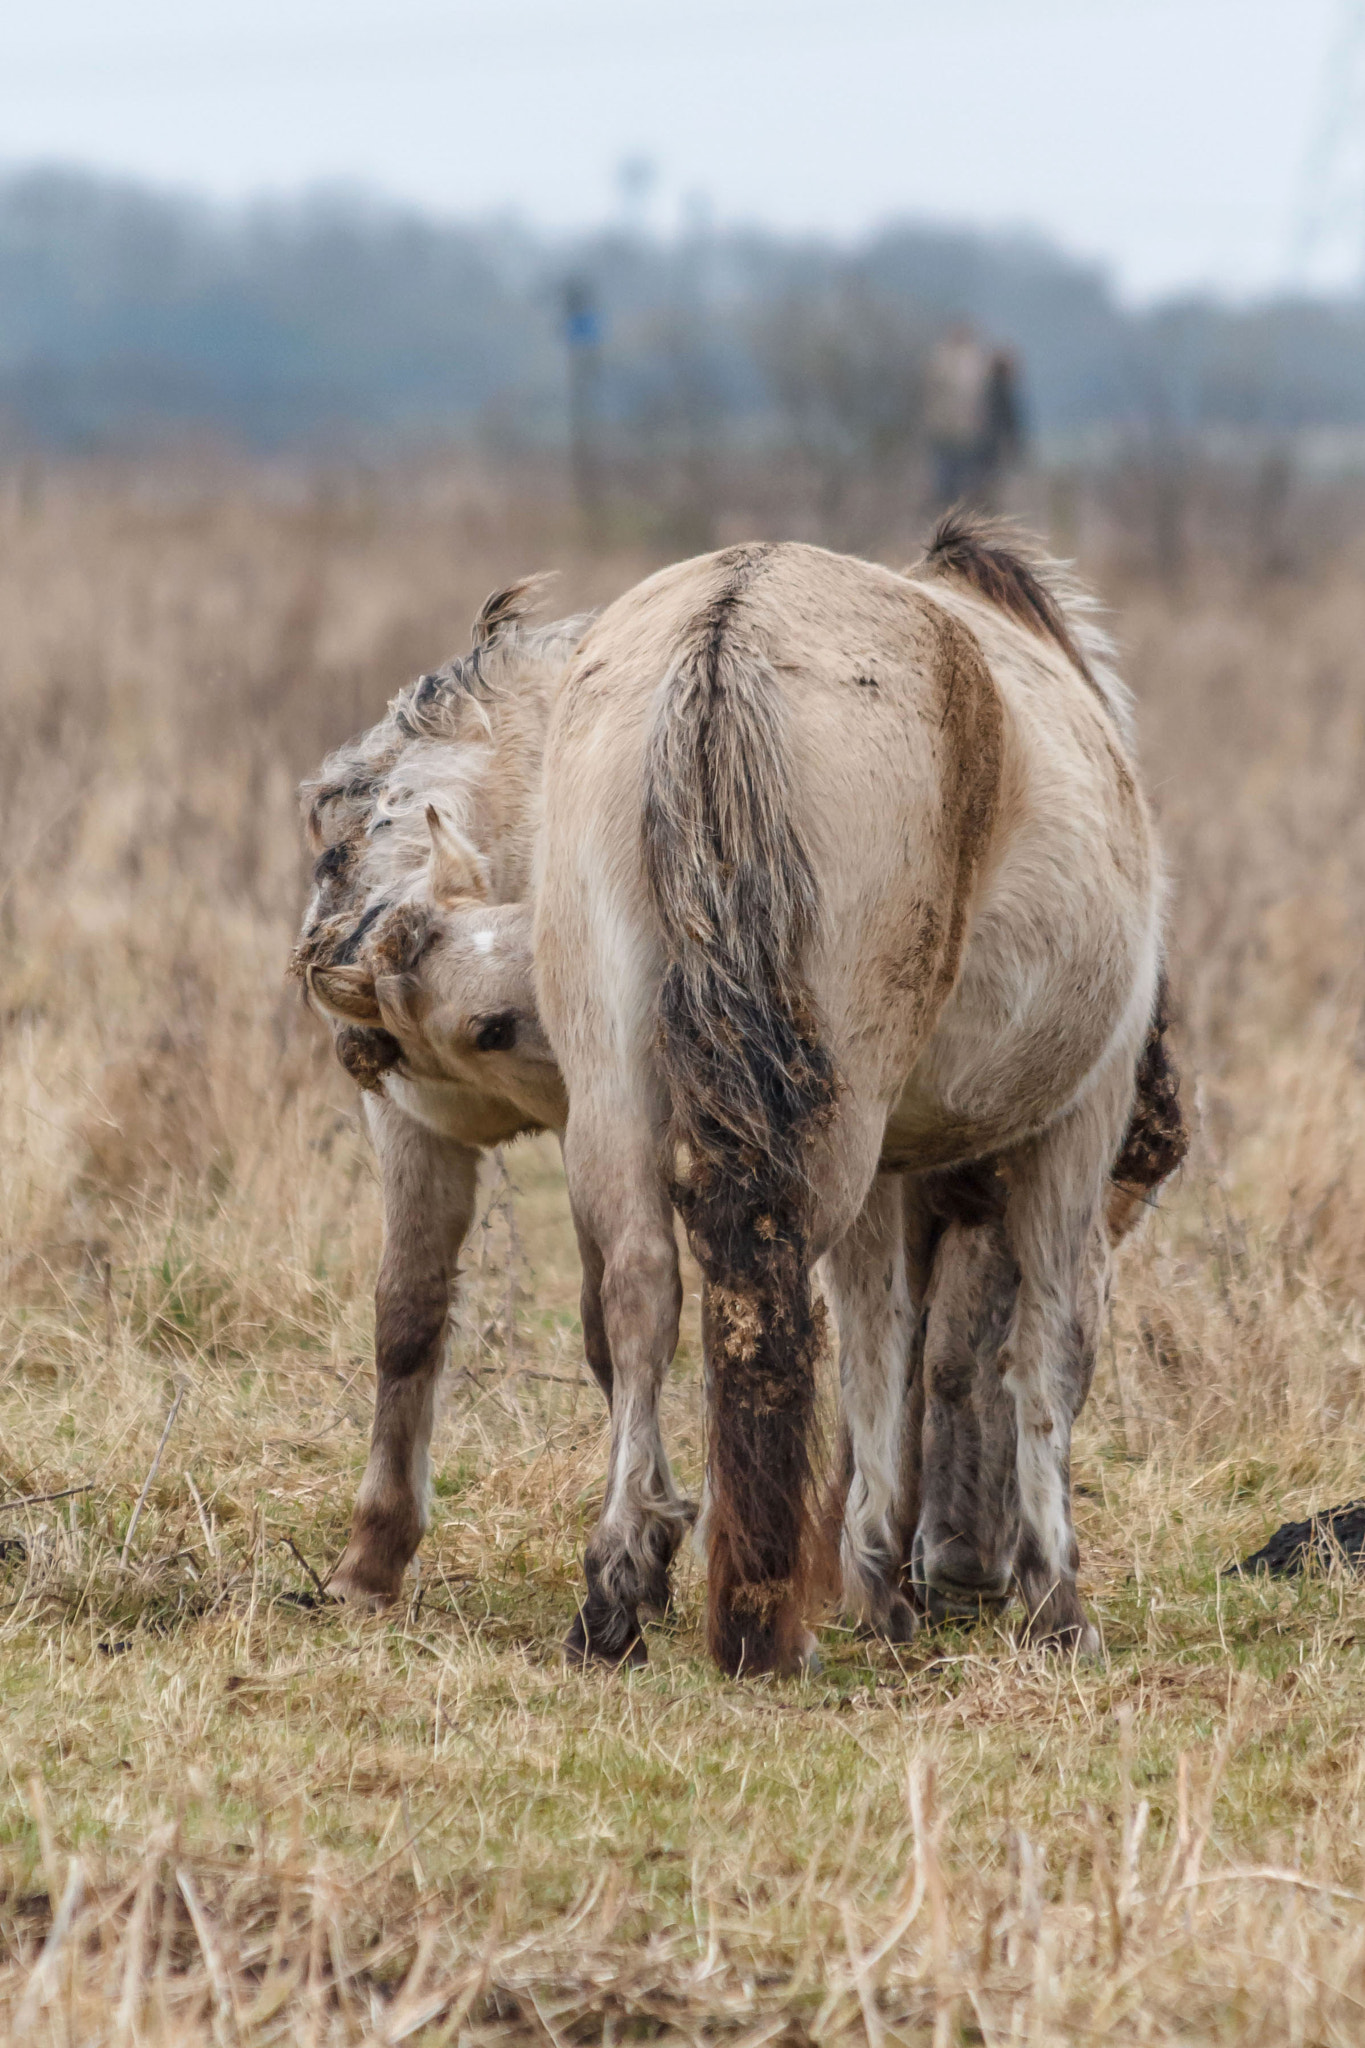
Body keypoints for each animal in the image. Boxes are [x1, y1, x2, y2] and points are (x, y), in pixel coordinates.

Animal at [534, 514, 1172, 1676]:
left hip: (612, 1089)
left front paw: (881, 1583)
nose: (967, 1572)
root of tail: (723, 631)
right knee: (762, 1283)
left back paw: (618, 1591)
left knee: (643, 1287)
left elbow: (888, 1347)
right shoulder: (1074, 1130)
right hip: (829, 1130)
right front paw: (1054, 1603)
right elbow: (1044, 1354)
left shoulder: (895, 1177)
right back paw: (758, 1617)